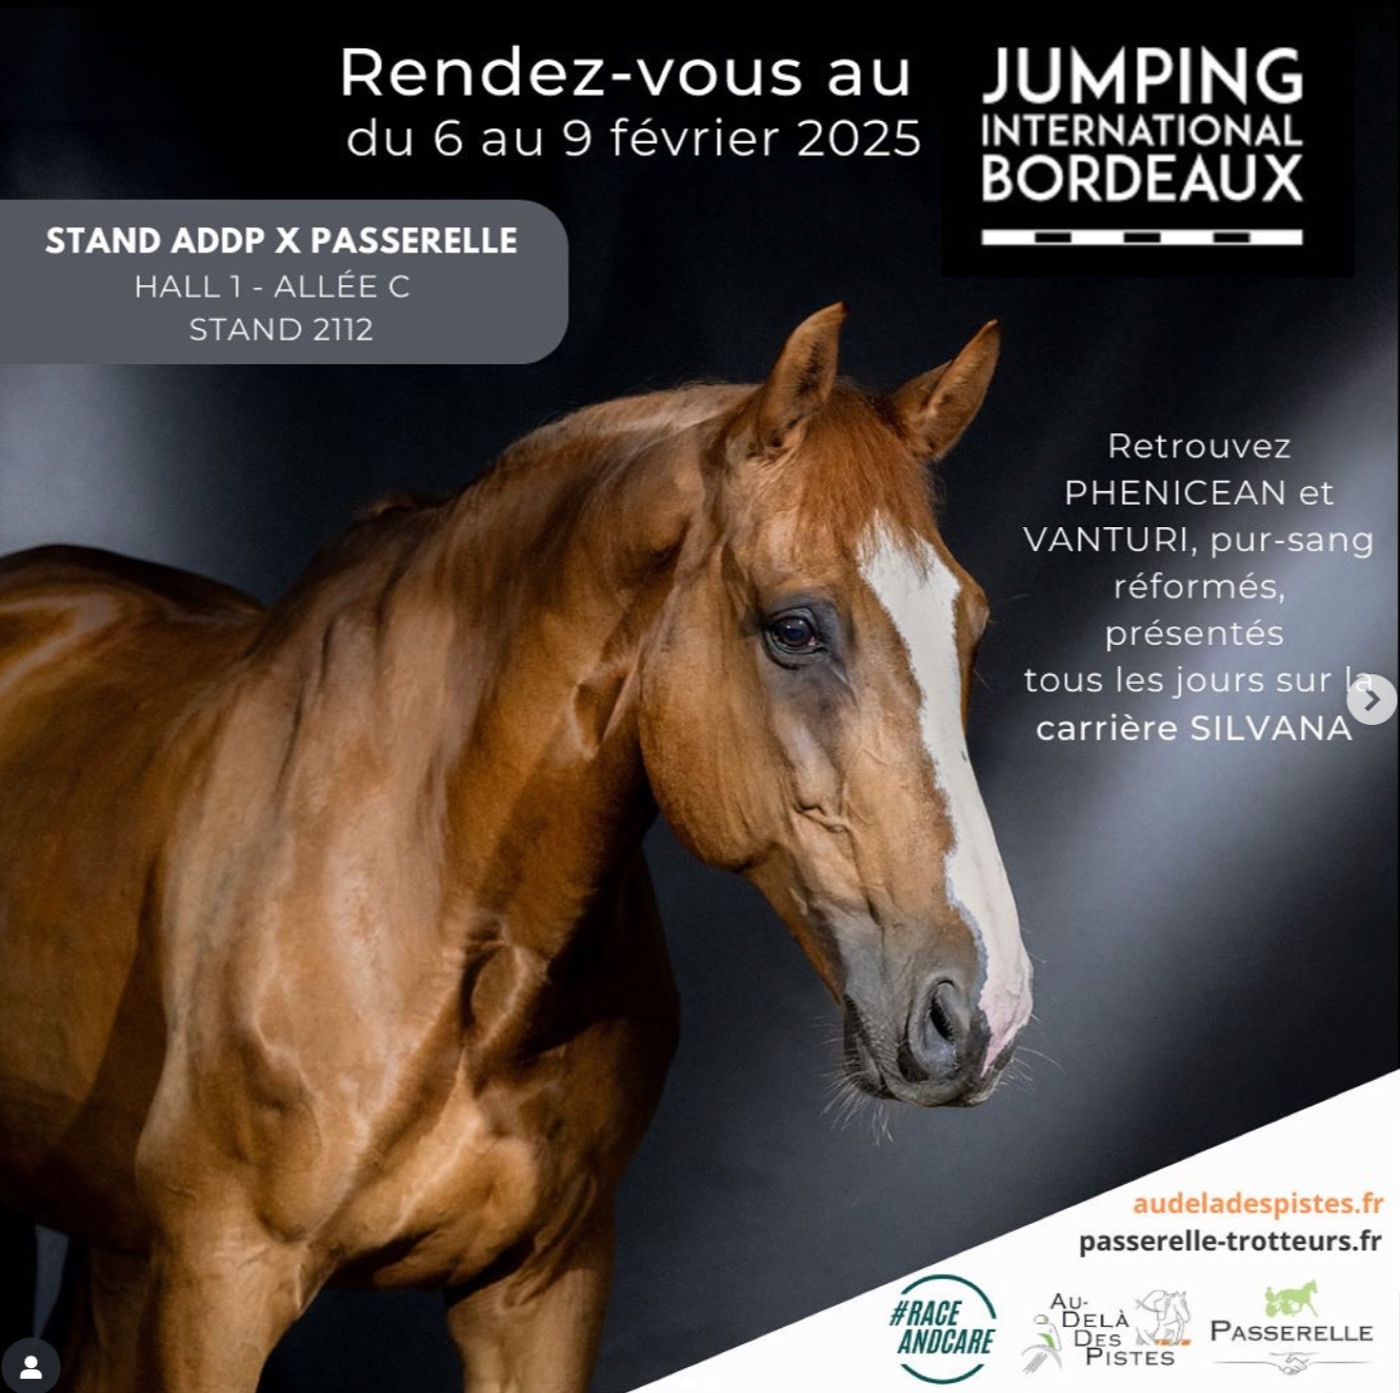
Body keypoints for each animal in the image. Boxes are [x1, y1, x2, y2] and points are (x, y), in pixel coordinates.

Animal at [0, 304, 1032, 1392]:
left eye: (969, 627)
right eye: (794, 627)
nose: (984, 1010)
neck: (453, 913)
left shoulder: (543, 1288)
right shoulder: (220, 1284)